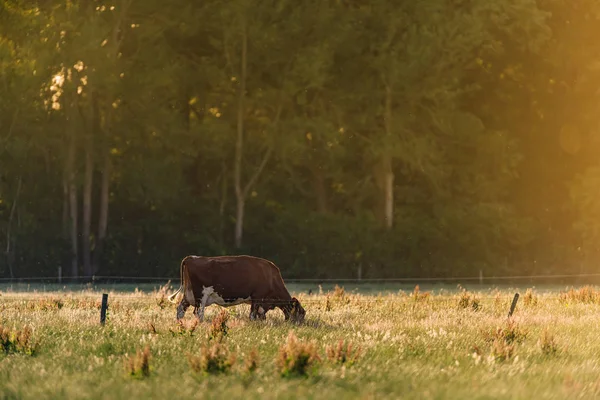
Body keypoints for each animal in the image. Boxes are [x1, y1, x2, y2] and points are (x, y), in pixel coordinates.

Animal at [168, 255, 304, 324]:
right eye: (302, 313)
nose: (301, 325)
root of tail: (191, 258)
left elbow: (260, 315)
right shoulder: (257, 297)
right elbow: (253, 315)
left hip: (188, 295)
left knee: (180, 310)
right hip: (200, 295)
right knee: (198, 313)